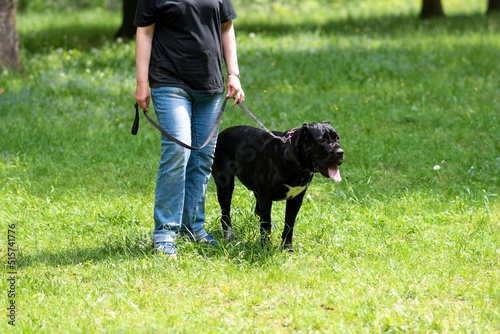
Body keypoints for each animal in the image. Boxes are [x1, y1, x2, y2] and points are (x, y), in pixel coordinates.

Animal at [211, 120, 344, 250]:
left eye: (337, 138)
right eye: (322, 140)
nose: (340, 152)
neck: (293, 161)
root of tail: (222, 132)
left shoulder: (296, 199)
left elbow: (289, 225)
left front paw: (287, 248)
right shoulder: (266, 198)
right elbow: (265, 225)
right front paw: (265, 248)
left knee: (257, 211)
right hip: (225, 186)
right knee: (225, 214)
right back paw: (229, 235)